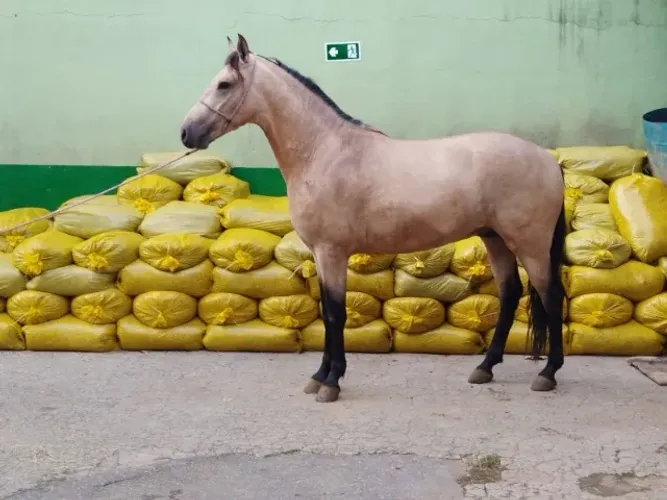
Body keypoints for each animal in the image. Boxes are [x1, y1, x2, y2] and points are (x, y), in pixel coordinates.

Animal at [181, 34, 567, 403]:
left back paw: (547, 374)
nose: (186, 133)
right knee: (510, 293)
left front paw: (331, 383)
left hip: (529, 244)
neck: (325, 152)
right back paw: (485, 367)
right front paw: (319, 376)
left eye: (225, 84)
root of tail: (548, 160)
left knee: (551, 295)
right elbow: (326, 311)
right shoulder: (320, 255)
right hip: (494, 238)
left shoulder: (332, 252)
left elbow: (335, 314)